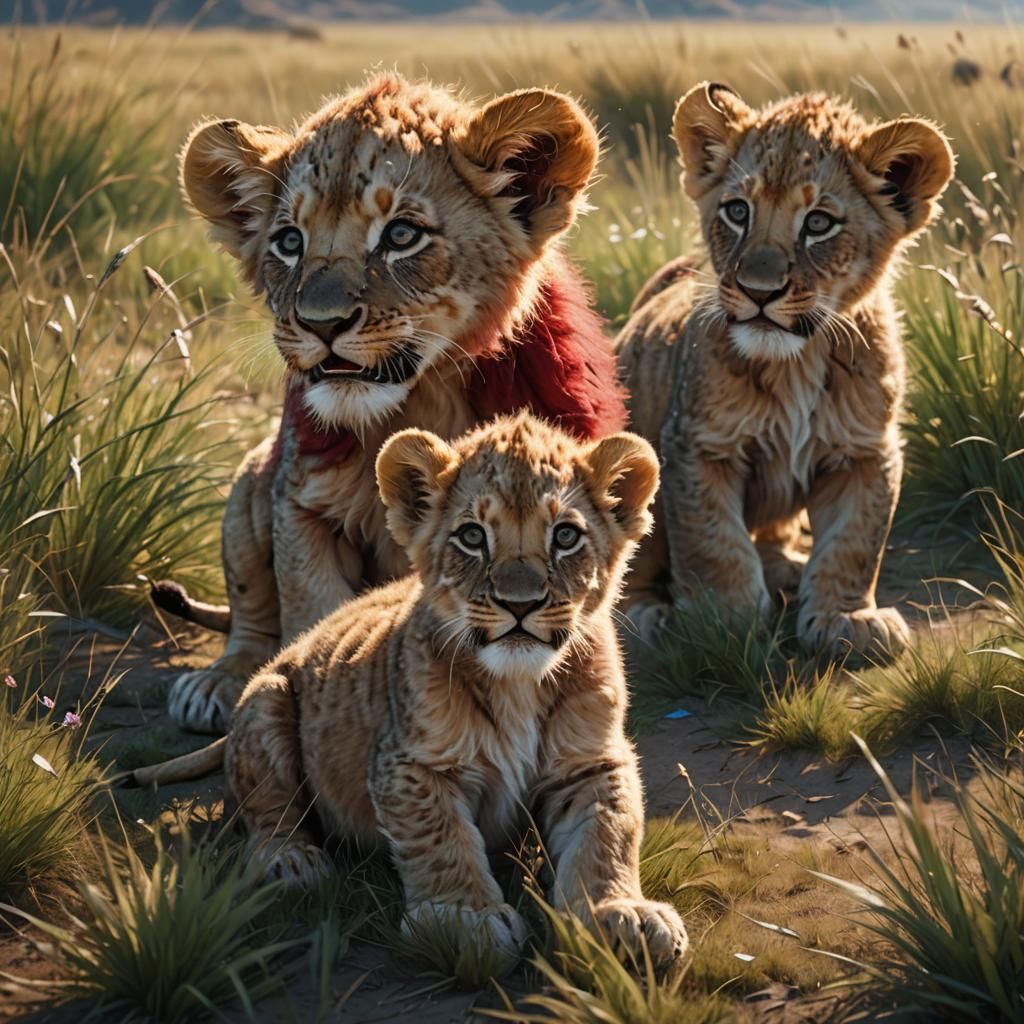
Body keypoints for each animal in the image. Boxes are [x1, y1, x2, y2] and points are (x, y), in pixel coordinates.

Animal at [136, 411, 688, 973]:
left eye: (566, 536)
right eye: (472, 536)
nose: (520, 604)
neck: (518, 683)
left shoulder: (591, 763)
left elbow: (607, 835)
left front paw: (621, 914)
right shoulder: (409, 765)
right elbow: (441, 840)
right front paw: (465, 920)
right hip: (266, 697)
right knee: (266, 815)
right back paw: (292, 862)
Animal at [153, 72, 626, 733]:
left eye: (401, 235)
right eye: (289, 242)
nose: (319, 323)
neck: (417, 401)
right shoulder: (300, 504)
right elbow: (309, 617)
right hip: (250, 482)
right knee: (249, 615)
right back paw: (218, 683)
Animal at [616, 84, 954, 660]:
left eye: (818, 223)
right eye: (737, 211)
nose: (758, 290)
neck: (797, 362)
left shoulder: (866, 451)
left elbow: (854, 542)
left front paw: (848, 619)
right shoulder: (697, 445)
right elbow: (714, 543)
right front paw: (721, 622)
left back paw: (788, 569)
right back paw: (647, 615)